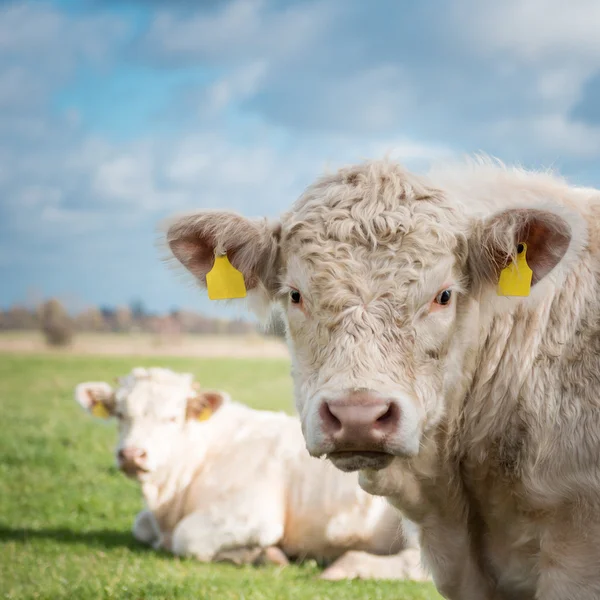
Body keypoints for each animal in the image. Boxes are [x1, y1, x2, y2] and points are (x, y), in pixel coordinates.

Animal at [75, 366, 428, 580]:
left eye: (173, 417)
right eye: (121, 414)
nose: (132, 454)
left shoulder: (253, 515)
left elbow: (185, 539)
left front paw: (261, 555)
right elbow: (141, 527)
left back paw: (341, 567)